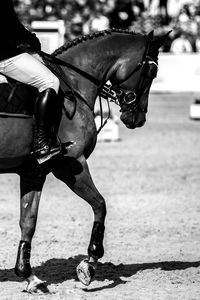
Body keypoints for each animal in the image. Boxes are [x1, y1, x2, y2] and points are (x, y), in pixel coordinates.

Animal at [0, 28, 170, 292]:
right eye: (152, 72)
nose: (138, 119)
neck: (72, 81)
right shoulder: (71, 167)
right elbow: (100, 205)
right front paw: (89, 264)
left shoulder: (33, 172)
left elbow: (28, 221)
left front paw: (29, 277)